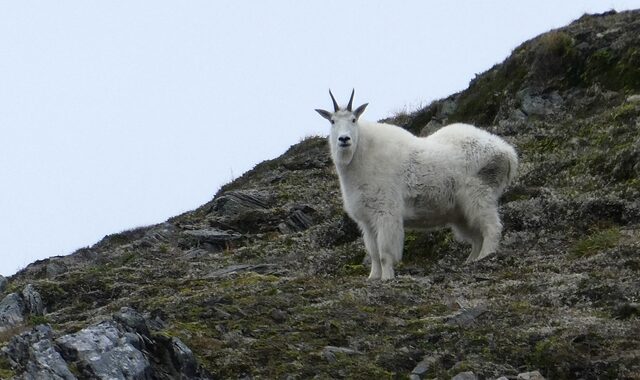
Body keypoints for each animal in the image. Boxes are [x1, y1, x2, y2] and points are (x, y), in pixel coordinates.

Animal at [316, 89, 520, 280]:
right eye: (332, 121)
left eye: (353, 119)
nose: (344, 139)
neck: (360, 156)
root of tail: (508, 153)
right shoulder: (366, 220)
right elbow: (373, 252)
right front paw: (373, 277)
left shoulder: (386, 212)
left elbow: (384, 252)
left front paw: (387, 277)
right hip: (461, 212)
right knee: (477, 236)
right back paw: (470, 261)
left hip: (480, 195)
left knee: (492, 228)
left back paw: (485, 257)